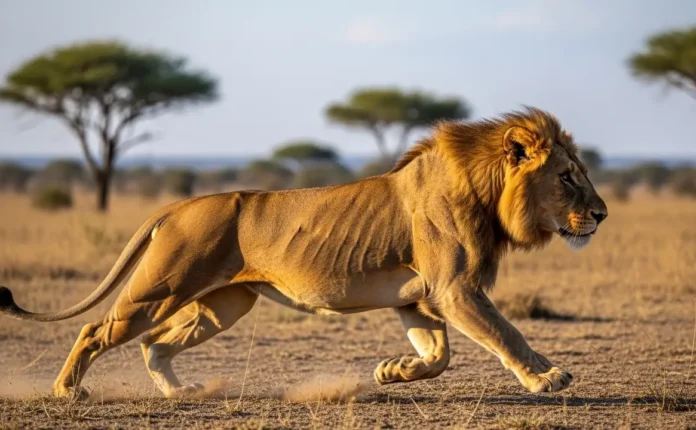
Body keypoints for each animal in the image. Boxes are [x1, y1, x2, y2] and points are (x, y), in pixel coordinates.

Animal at [0, 107, 608, 400]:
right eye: (567, 177)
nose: (602, 214)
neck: (485, 192)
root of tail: (179, 204)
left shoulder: (420, 297)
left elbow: (439, 355)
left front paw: (394, 370)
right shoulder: (457, 290)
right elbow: (509, 334)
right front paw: (546, 380)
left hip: (226, 304)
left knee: (155, 342)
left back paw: (178, 392)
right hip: (161, 286)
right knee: (97, 329)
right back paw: (65, 391)